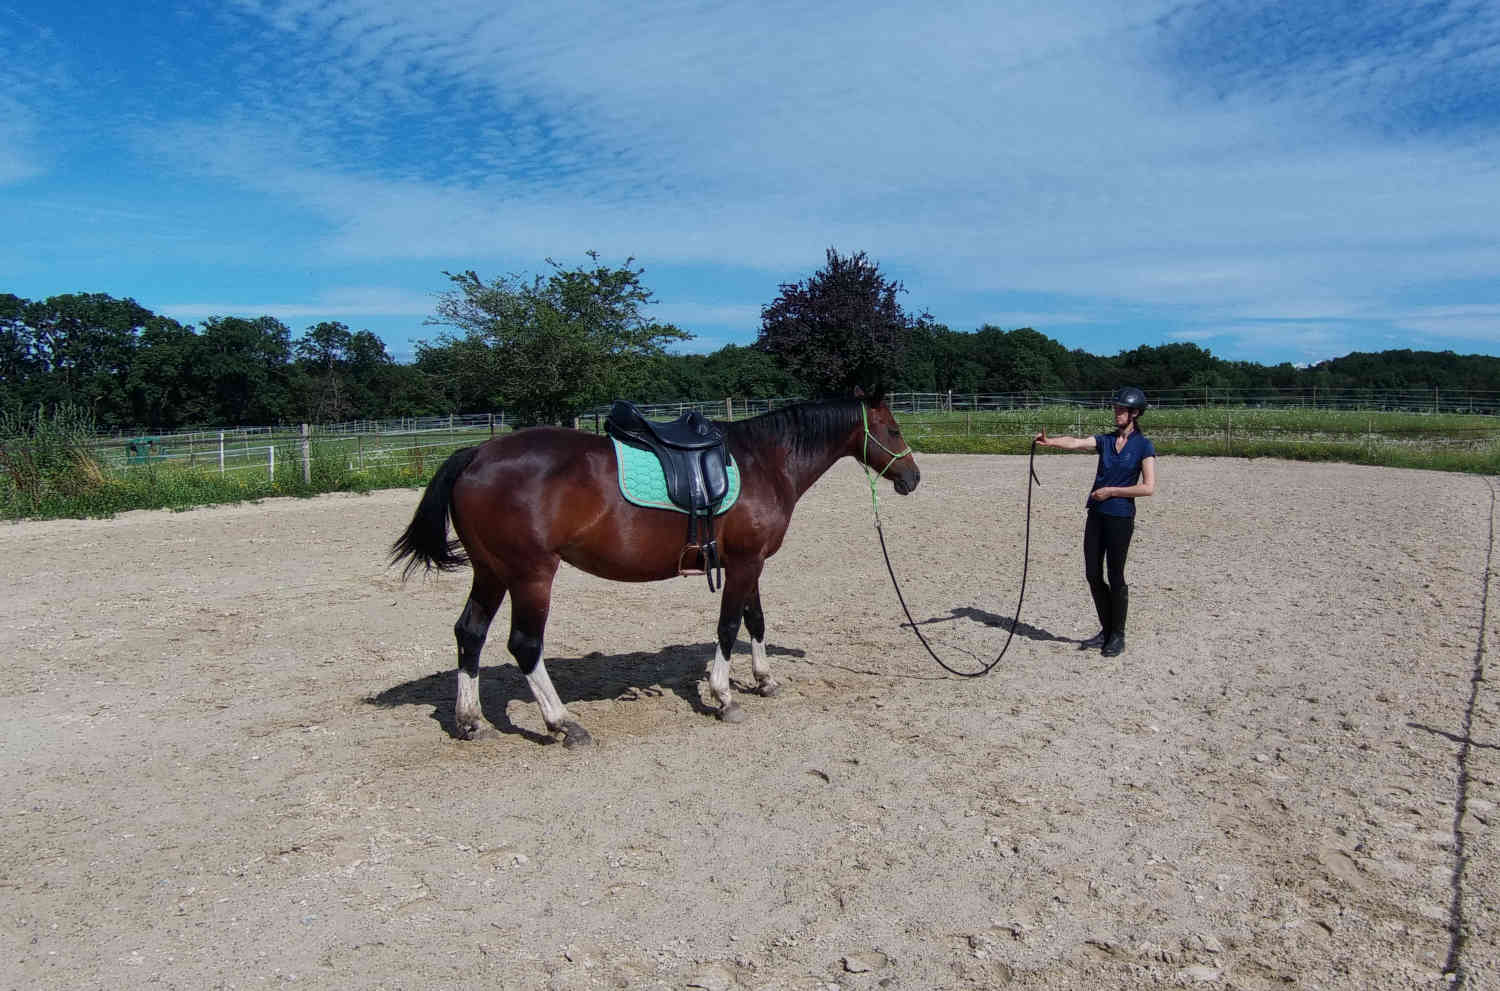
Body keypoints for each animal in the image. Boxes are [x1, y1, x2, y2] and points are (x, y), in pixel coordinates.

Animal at [393, 389, 918, 746]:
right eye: (893, 430)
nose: (912, 477)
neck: (764, 462)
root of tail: (476, 454)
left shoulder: (749, 563)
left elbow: (755, 621)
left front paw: (765, 680)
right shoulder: (745, 563)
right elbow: (729, 626)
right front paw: (724, 697)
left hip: (491, 572)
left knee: (470, 634)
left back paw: (471, 721)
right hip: (530, 575)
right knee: (525, 644)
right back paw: (563, 723)